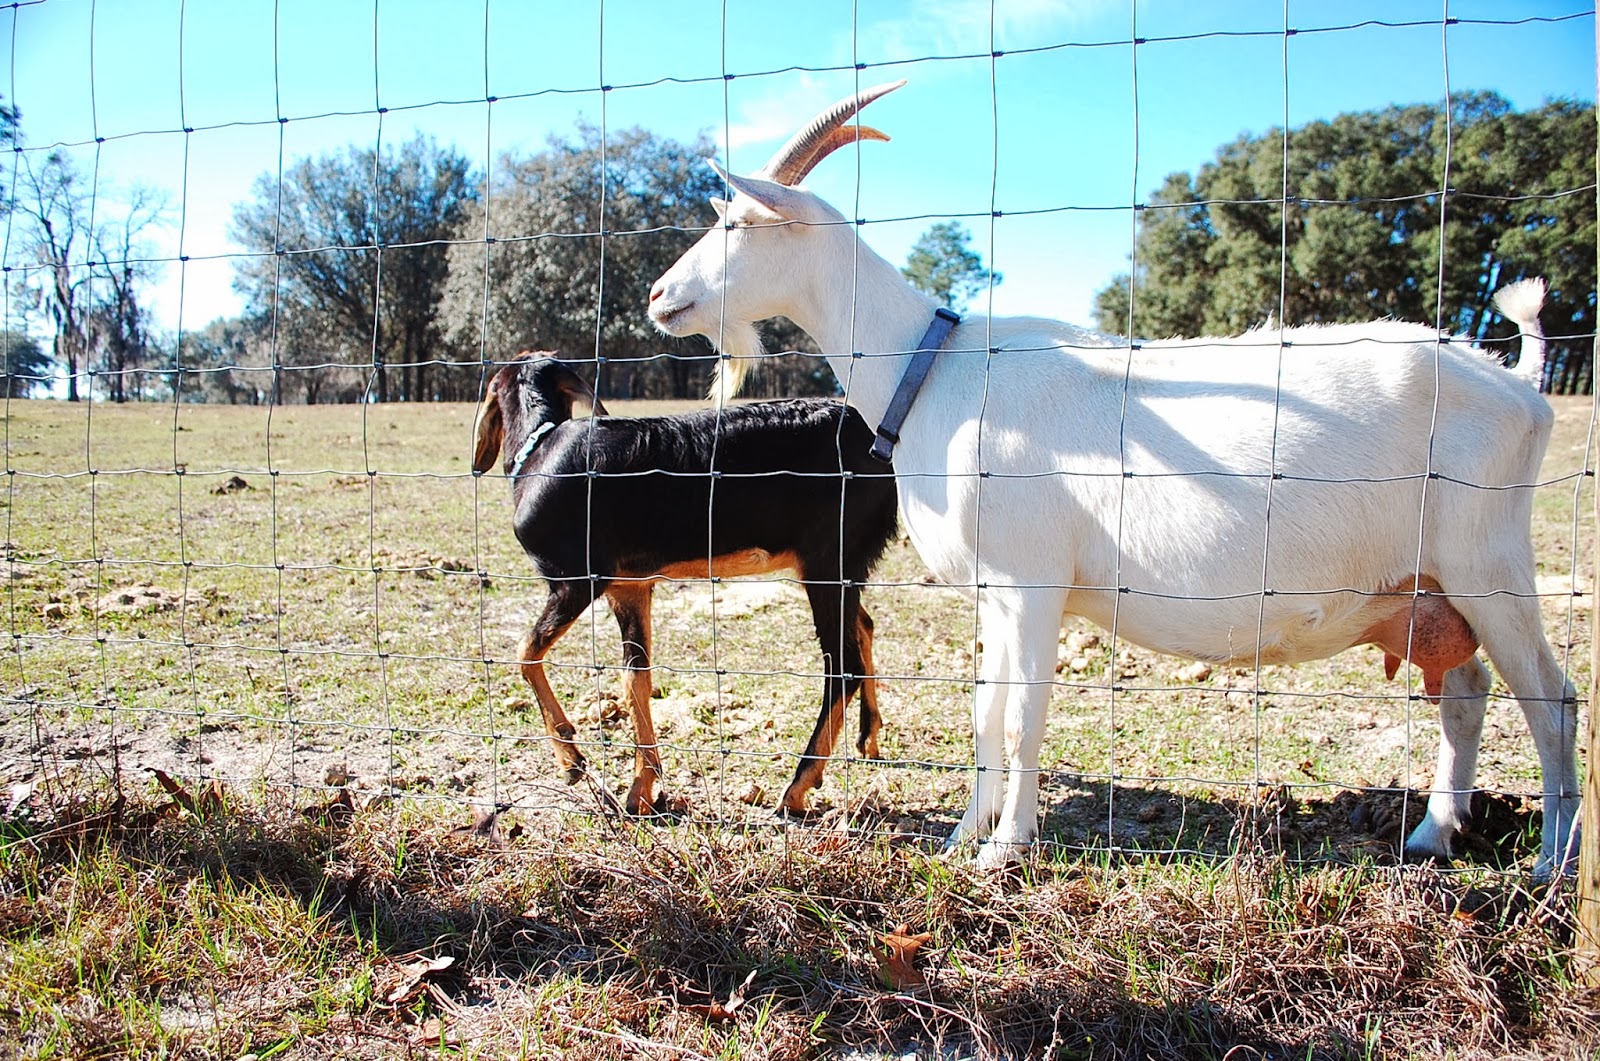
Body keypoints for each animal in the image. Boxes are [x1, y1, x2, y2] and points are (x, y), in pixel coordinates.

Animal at [473, 353, 899, 816]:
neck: (540, 448)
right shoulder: (630, 586)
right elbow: (635, 677)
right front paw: (642, 790)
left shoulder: (576, 579)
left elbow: (526, 651)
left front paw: (572, 760)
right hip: (842, 566)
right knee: (864, 626)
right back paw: (868, 739)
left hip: (827, 559)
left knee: (842, 665)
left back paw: (796, 788)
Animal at [647, 81, 1579, 875]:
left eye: (737, 223)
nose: (658, 296)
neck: (935, 364)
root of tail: (1519, 384)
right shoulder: (998, 592)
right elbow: (986, 714)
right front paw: (962, 838)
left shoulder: (1034, 583)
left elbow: (1025, 717)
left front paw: (1005, 850)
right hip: (1429, 587)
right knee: (1465, 689)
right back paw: (1432, 834)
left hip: (1490, 564)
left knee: (1551, 698)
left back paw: (1553, 863)